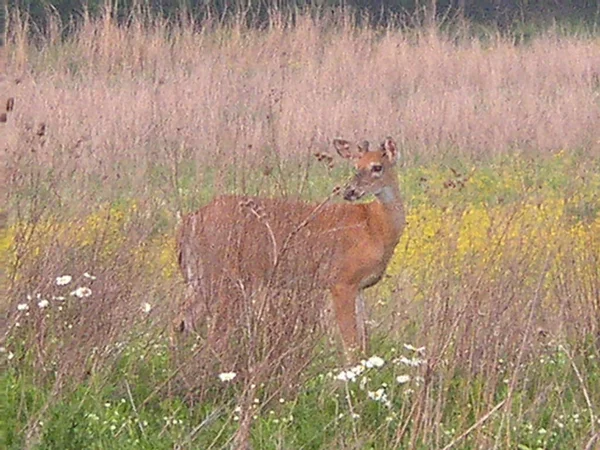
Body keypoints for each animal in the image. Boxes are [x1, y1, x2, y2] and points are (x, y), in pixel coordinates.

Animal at [176, 137, 406, 358]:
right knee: (212, 332)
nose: (350, 191)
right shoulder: (341, 280)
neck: (374, 227)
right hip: (223, 275)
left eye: (377, 167)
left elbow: (363, 342)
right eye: (356, 166)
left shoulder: (358, 286)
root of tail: (191, 219)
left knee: (182, 322)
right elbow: (351, 344)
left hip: (200, 277)